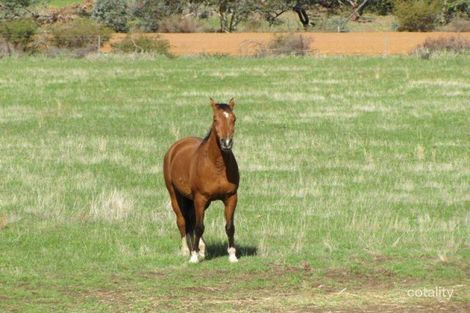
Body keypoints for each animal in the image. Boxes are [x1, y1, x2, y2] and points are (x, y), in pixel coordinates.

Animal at [163, 98, 241, 264]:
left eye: (233, 119)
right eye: (215, 119)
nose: (226, 143)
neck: (217, 165)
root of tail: (175, 148)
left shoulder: (231, 197)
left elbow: (229, 227)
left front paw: (232, 255)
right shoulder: (200, 198)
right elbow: (199, 227)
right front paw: (193, 256)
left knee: (192, 220)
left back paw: (202, 249)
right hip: (175, 195)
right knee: (182, 221)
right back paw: (186, 250)